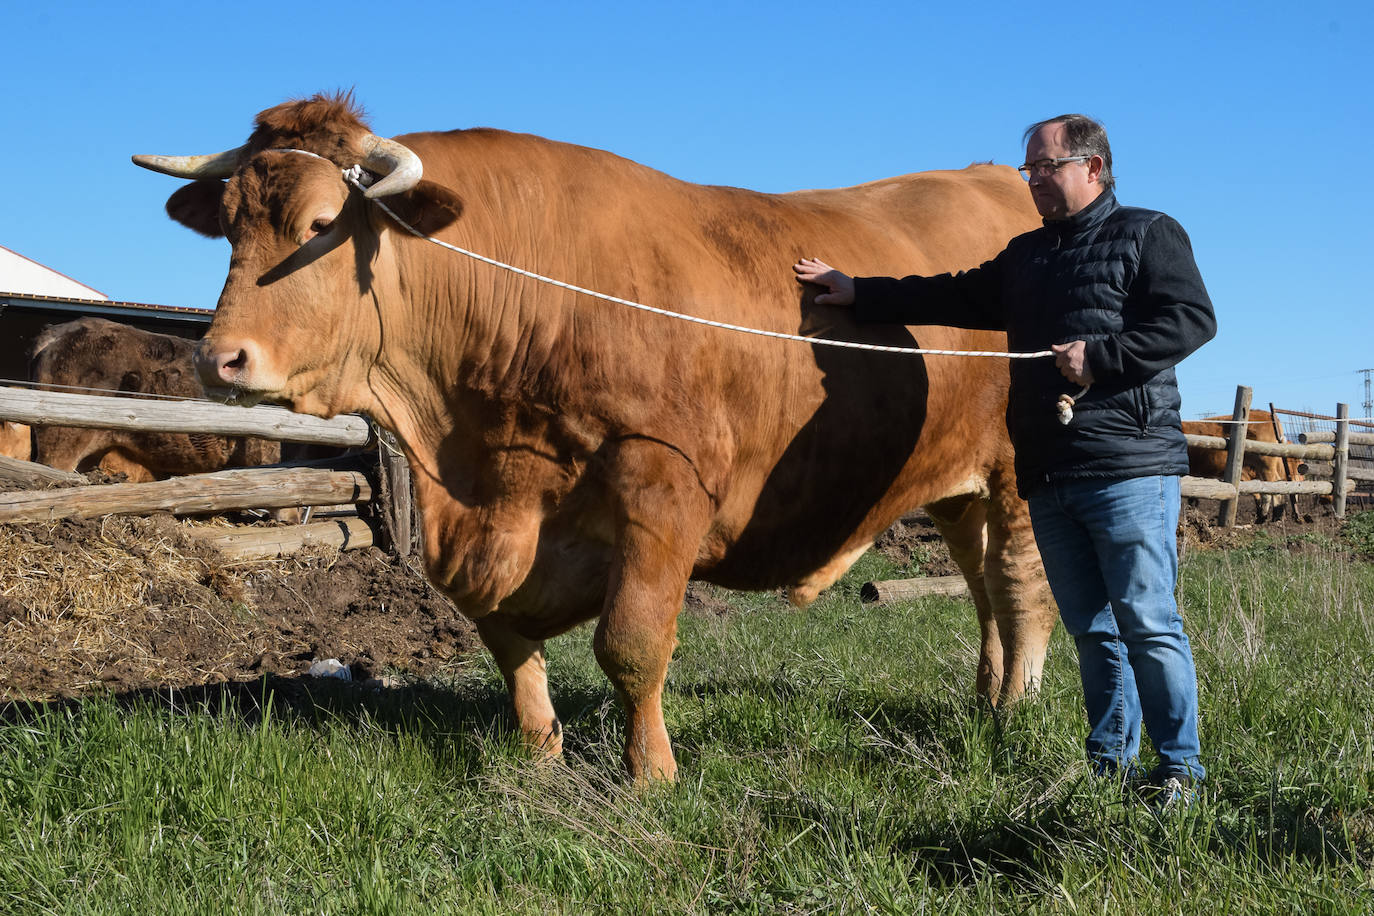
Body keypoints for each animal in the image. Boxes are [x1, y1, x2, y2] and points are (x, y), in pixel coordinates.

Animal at [133, 91, 1055, 780]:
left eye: (323, 222)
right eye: (229, 224)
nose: (219, 359)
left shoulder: (660, 485)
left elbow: (632, 643)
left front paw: (651, 774)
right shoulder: (488, 532)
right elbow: (505, 637)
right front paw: (540, 753)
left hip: (1020, 475)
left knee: (1021, 585)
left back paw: (1017, 704)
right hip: (955, 484)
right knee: (980, 587)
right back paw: (985, 692)